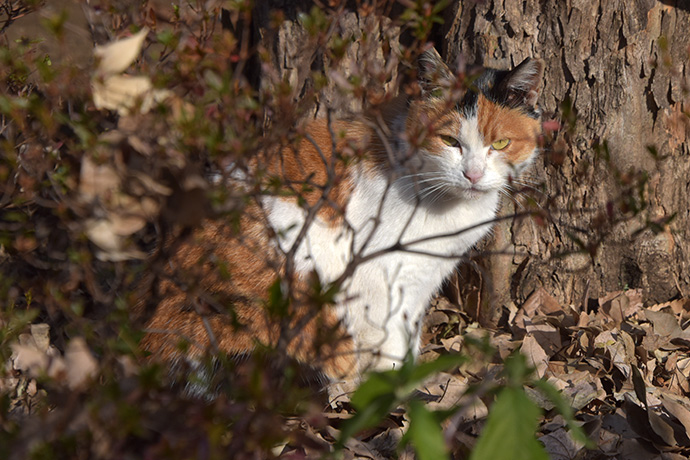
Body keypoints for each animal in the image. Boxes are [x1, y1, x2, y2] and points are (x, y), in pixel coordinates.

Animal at [137, 49, 540, 388]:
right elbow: (390, 336)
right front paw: (394, 388)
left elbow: (408, 327)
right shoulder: (378, 273)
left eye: (500, 144)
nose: (473, 175)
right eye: (449, 141)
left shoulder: (423, 276)